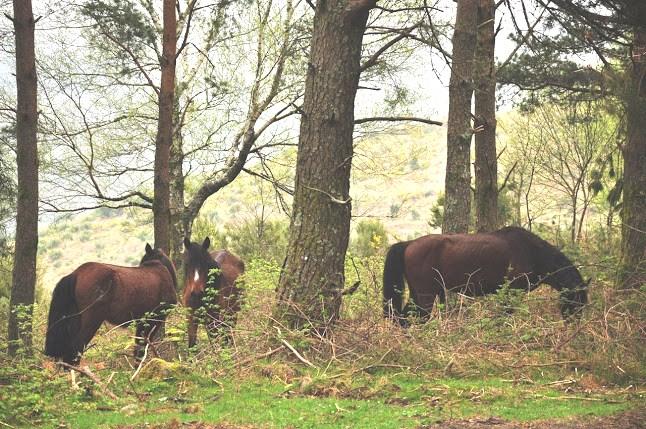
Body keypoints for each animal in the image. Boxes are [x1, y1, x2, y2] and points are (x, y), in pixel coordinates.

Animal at [45, 242, 177, 362]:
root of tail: (76, 273)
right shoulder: (154, 319)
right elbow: (142, 348)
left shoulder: (142, 322)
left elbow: (138, 347)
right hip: (92, 320)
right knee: (75, 349)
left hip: (74, 320)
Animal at [384, 227, 592, 324]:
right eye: (576, 300)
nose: (573, 325)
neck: (532, 251)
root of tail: (409, 244)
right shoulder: (511, 292)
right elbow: (504, 316)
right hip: (425, 296)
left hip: (418, 294)